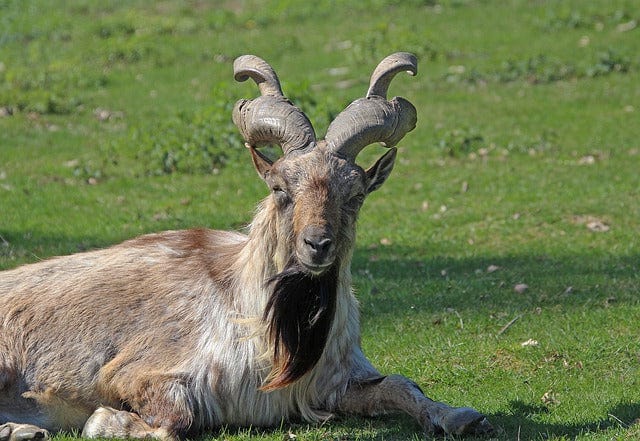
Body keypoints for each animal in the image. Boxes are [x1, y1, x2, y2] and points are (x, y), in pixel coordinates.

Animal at [0, 53, 492, 440]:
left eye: (355, 194)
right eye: (280, 188)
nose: (317, 245)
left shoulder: (333, 381)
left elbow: (401, 385)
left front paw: (461, 416)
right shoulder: (137, 369)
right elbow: (176, 419)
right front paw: (104, 421)